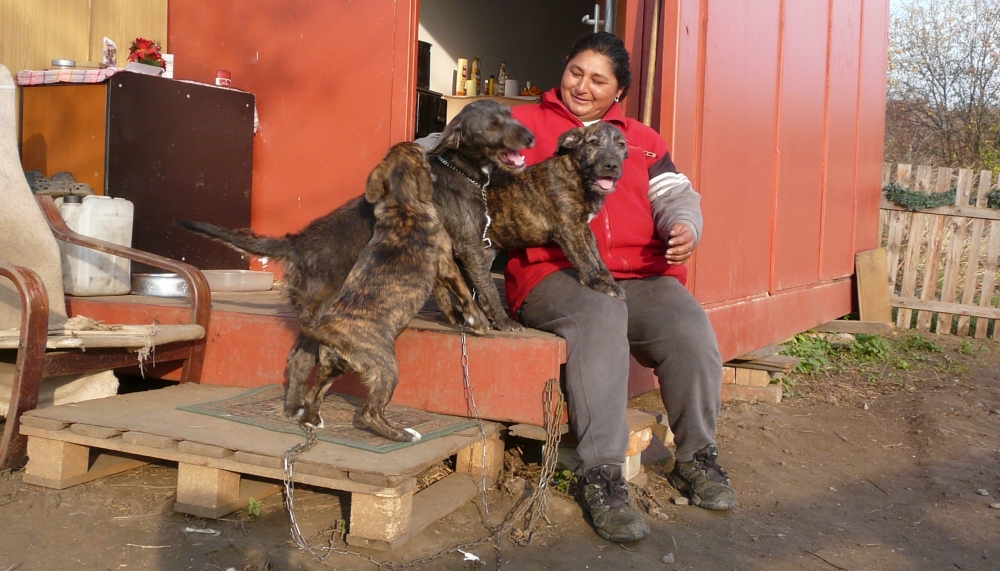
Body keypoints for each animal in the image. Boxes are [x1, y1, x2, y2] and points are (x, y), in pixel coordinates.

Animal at [288, 143, 490, 442]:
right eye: (420, 153)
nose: (430, 148)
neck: (402, 203)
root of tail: (328, 332)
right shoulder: (446, 263)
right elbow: (464, 294)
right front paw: (480, 323)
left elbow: (444, 296)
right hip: (386, 369)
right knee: (369, 413)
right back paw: (403, 434)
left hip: (329, 367)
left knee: (314, 396)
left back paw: (313, 421)